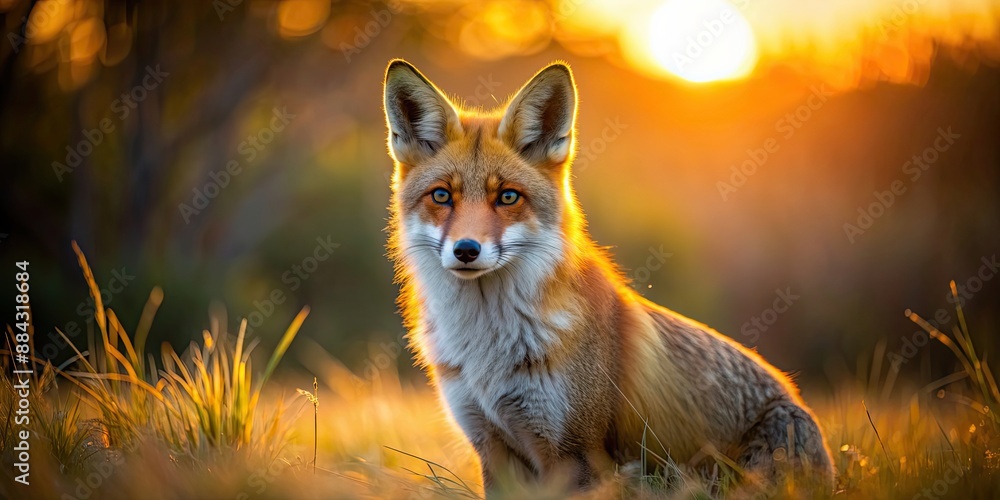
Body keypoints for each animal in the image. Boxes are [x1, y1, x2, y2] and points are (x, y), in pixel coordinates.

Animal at [381, 59, 835, 495]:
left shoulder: (576, 453)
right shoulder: (491, 448)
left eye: (508, 197)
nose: (466, 250)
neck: (487, 347)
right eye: (442, 196)